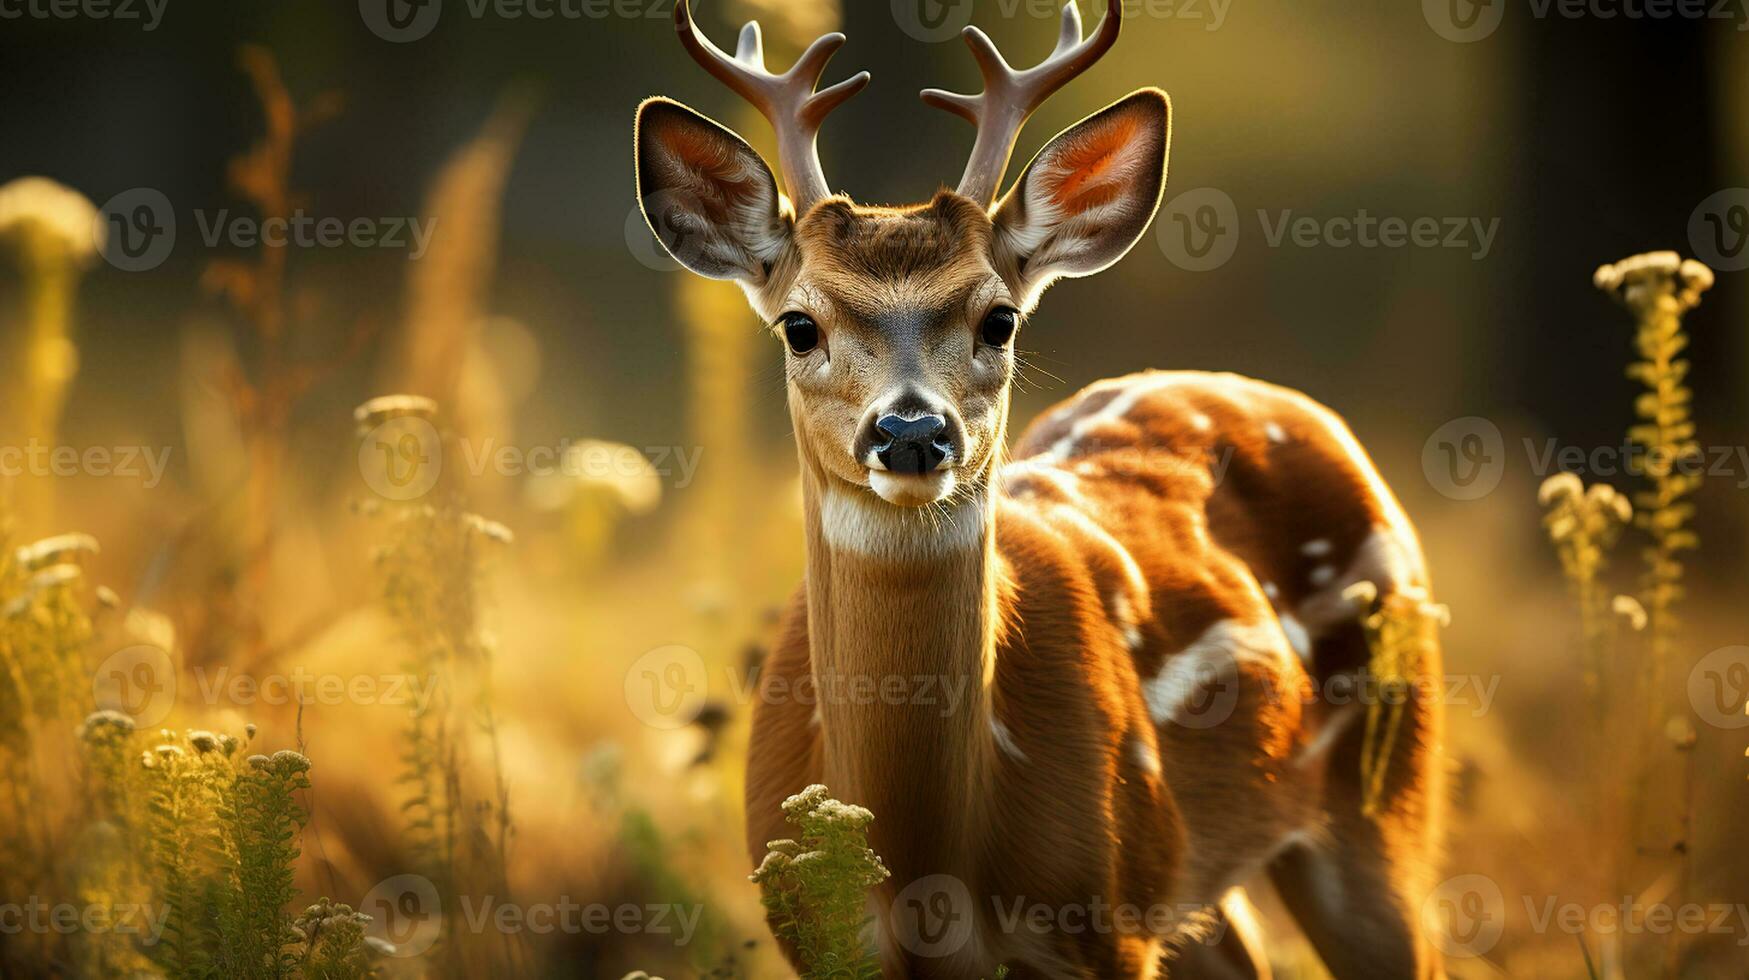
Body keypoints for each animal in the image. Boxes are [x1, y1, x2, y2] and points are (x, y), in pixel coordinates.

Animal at [636, 3, 1441, 973]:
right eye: (799, 324)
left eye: (999, 318)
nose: (912, 433)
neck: (926, 866)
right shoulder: (815, 939)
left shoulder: (1109, 917)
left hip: (1385, 787)